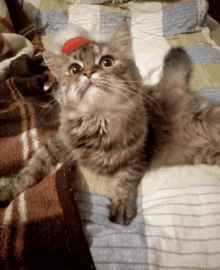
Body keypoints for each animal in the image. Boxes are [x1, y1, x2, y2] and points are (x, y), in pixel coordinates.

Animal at [1, 21, 220, 225]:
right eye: (74, 69)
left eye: (107, 62)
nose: (89, 72)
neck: (100, 121)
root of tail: (175, 87)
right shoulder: (56, 145)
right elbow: (29, 171)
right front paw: (8, 191)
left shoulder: (137, 155)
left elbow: (123, 181)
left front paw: (121, 206)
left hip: (209, 117)